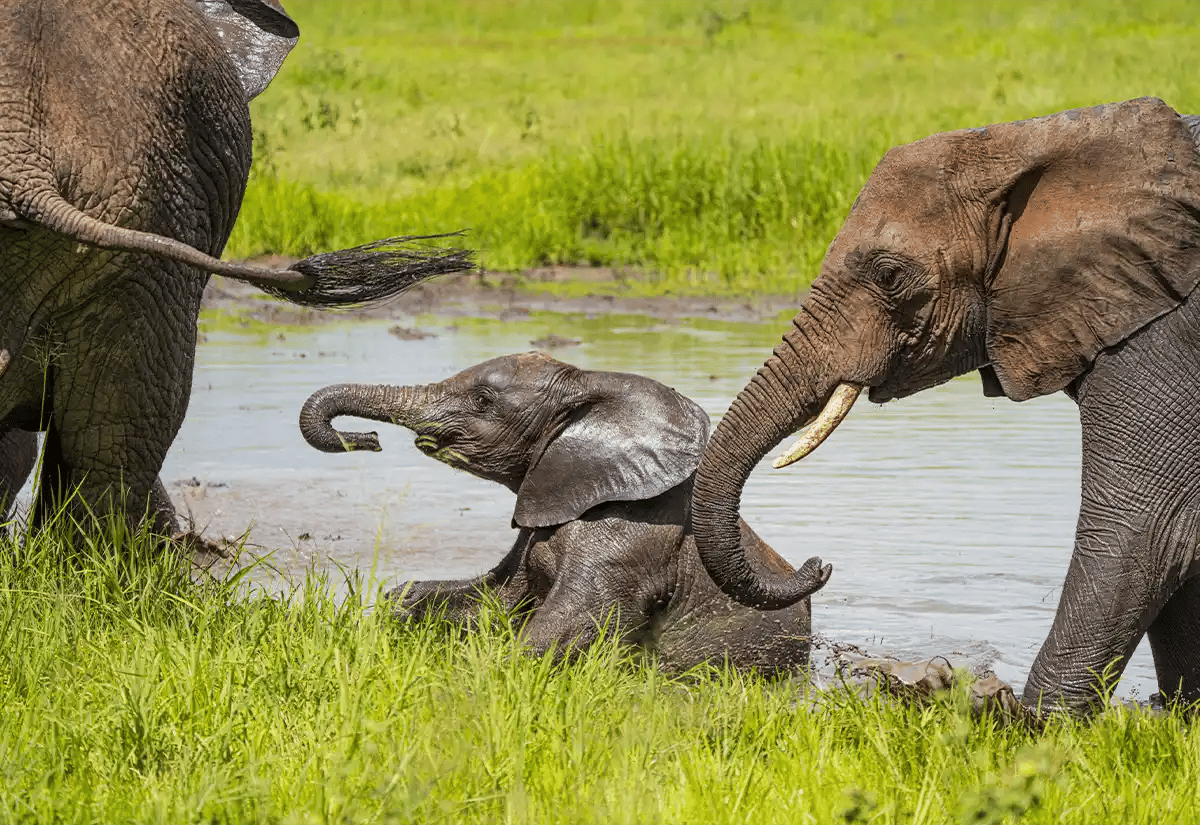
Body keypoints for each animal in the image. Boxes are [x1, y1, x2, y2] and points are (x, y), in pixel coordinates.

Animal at [299, 352, 822, 677]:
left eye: (482, 402)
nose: (367, 439)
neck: (590, 382)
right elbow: (490, 599)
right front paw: (396, 615)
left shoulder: (630, 541)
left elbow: (570, 623)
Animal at [690, 96, 1200, 714]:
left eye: (889, 275)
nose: (821, 562)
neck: (1036, 141)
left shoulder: (1161, 334)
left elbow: (1147, 526)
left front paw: (1035, 723)